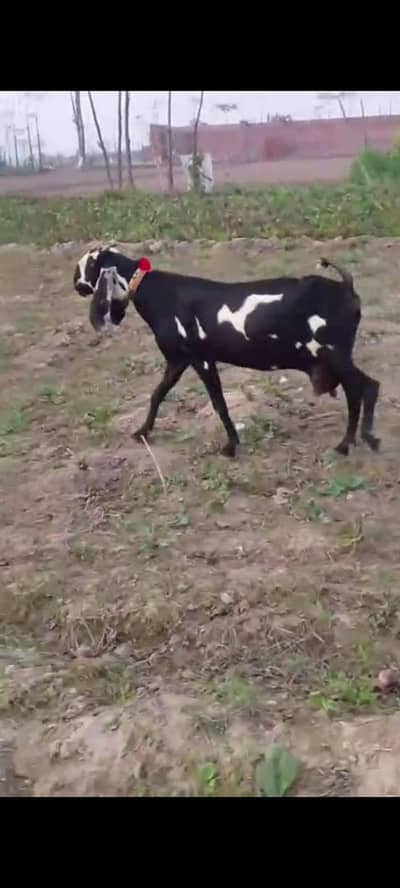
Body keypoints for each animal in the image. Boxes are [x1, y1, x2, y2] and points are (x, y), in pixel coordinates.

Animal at [73, 246, 380, 458]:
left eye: (83, 266)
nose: (75, 284)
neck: (155, 290)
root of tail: (346, 287)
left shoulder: (201, 360)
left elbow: (219, 403)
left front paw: (231, 445)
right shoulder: (179, 360)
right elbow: (157, 394)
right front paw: (142, 432)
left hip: (333, 354)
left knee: (365, 387)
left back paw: (355, 441)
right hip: (335, 357)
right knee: (361, 389)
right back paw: (355, 441)